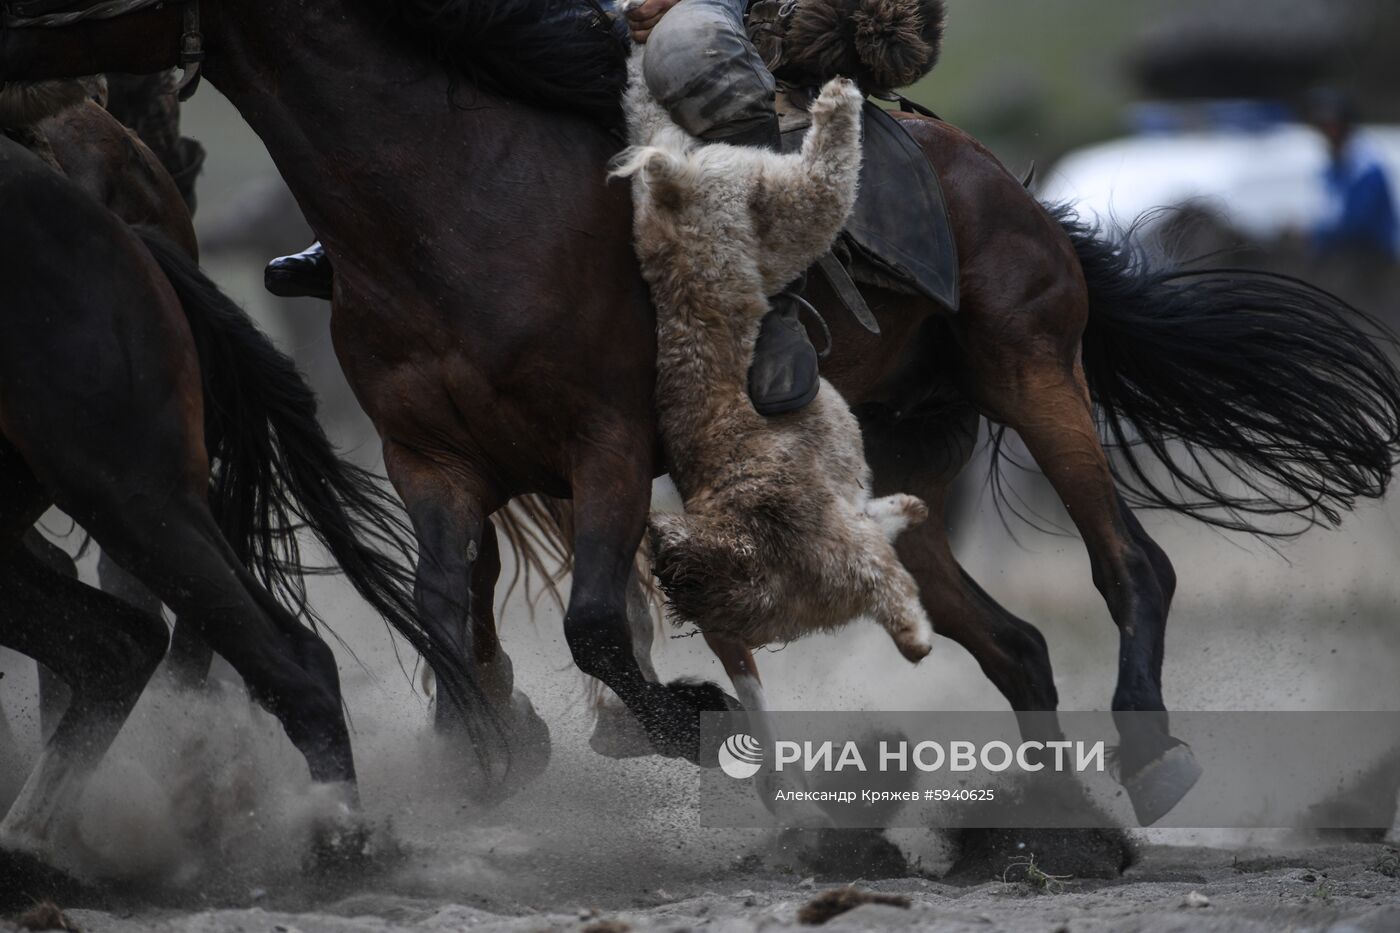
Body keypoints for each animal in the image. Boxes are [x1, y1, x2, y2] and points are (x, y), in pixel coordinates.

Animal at [5, 1, 1394, 829]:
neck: (444, 199)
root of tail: (1001, 179)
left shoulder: (607, 447)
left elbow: (592, 626)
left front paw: (684, 727)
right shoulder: (431, 462)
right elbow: (446, 620)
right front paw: (495, 758)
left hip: (1030, 360)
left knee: (1130, 567)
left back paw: (1147, 758)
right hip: (893, 459)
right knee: (1010, 644)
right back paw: (1047, 816)